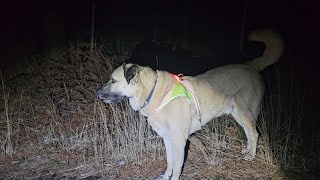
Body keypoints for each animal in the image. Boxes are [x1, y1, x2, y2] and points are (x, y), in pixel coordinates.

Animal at [97, 28, 282, 179]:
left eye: (113, 80)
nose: (97, 93)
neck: (153, 92)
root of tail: (252, 66)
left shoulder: (179, 140)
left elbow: (177, 165)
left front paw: (173, 177)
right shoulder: (167, 138)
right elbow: (170, 162)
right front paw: (165, 176)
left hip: (245, 112)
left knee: (254, 133)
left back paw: (251, 155)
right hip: (238, 114)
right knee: (249, 133)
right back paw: (247, 150)